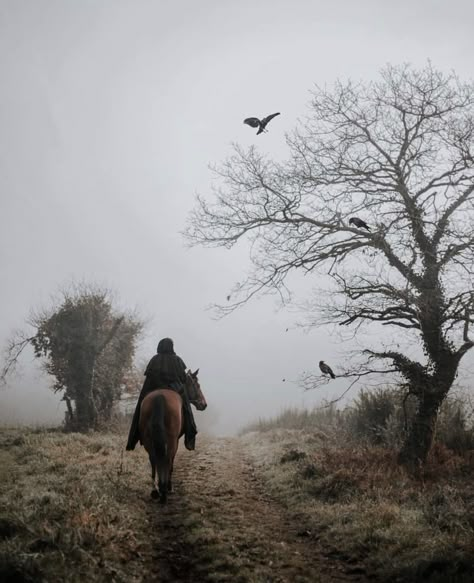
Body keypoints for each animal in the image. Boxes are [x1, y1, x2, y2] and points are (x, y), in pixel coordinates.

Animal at [140, 370, 208, 502]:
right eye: (197, 385)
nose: (204, 404)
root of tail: (159, 397)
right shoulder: (176, 440)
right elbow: (171, 462)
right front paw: (169, 486)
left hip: (148, 441)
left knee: (153, 460)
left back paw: (155, 490)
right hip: (171, 441)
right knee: (167, 459)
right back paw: (164, 491)